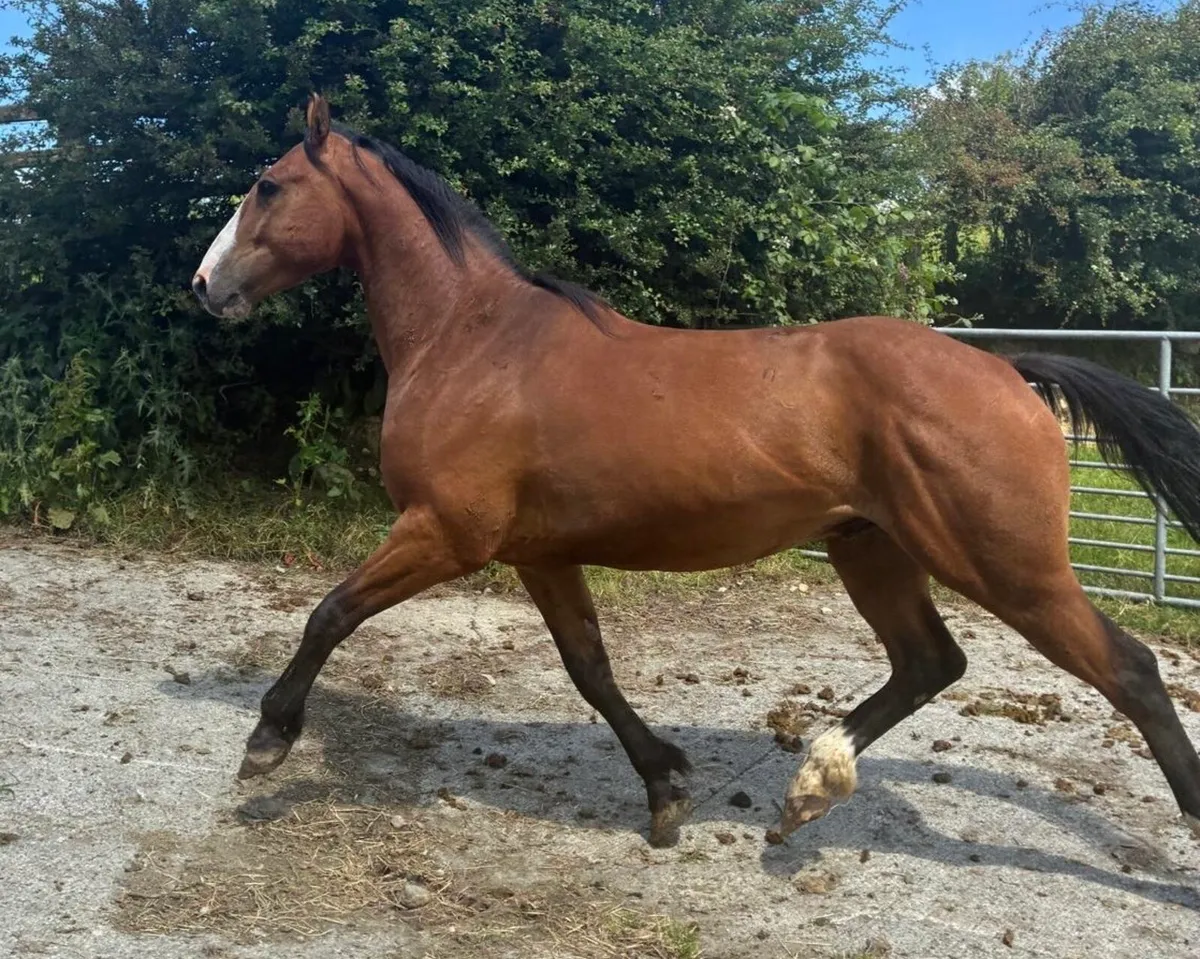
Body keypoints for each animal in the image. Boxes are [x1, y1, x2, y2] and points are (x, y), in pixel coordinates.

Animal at [192, 94, 1200, 849]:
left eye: (268, 184)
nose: (205, 285)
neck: (473, 342)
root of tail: (1007, 371)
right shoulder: (538, 553)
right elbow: (590, 669)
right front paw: (666, 787)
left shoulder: (446, 531)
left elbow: (329, 612)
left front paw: (267, 742)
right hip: (871, 546)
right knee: (930, 660)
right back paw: (809, 787)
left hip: (1006, 565)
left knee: (1130, 668)